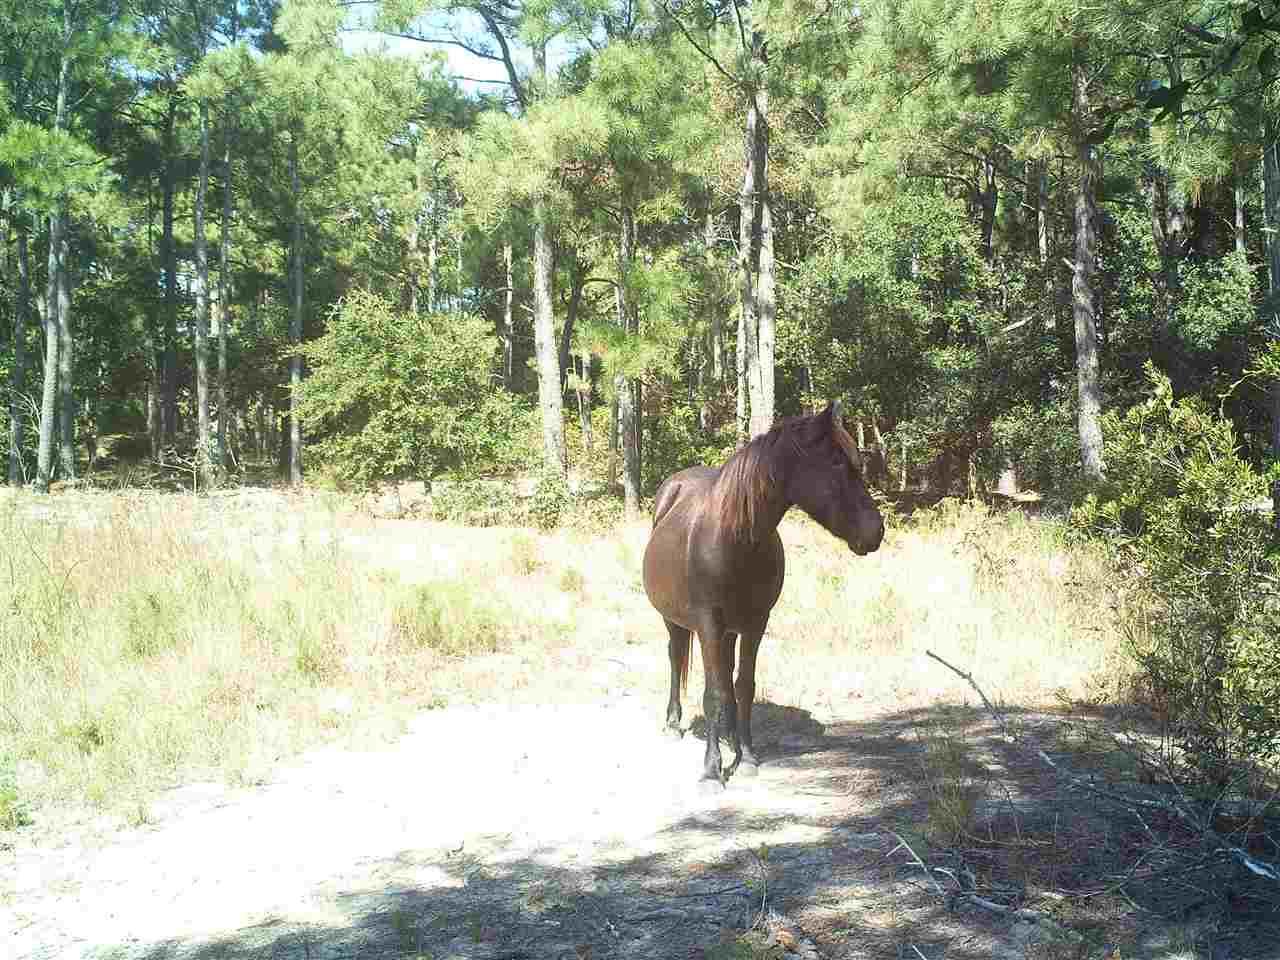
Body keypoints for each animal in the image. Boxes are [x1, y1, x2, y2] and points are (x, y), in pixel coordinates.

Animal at [645, 404, 885, 788]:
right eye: (836, 463)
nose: (876, 531)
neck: (734, 540)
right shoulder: (708, 624)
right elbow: (712, 693)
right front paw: (712, 770)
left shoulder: (756, 622)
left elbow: (743, 686)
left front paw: (745, 756)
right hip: (675, 621)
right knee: (676, 657)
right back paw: (673, 724)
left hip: (730, 630)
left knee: (724, 674)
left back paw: (729, 735)